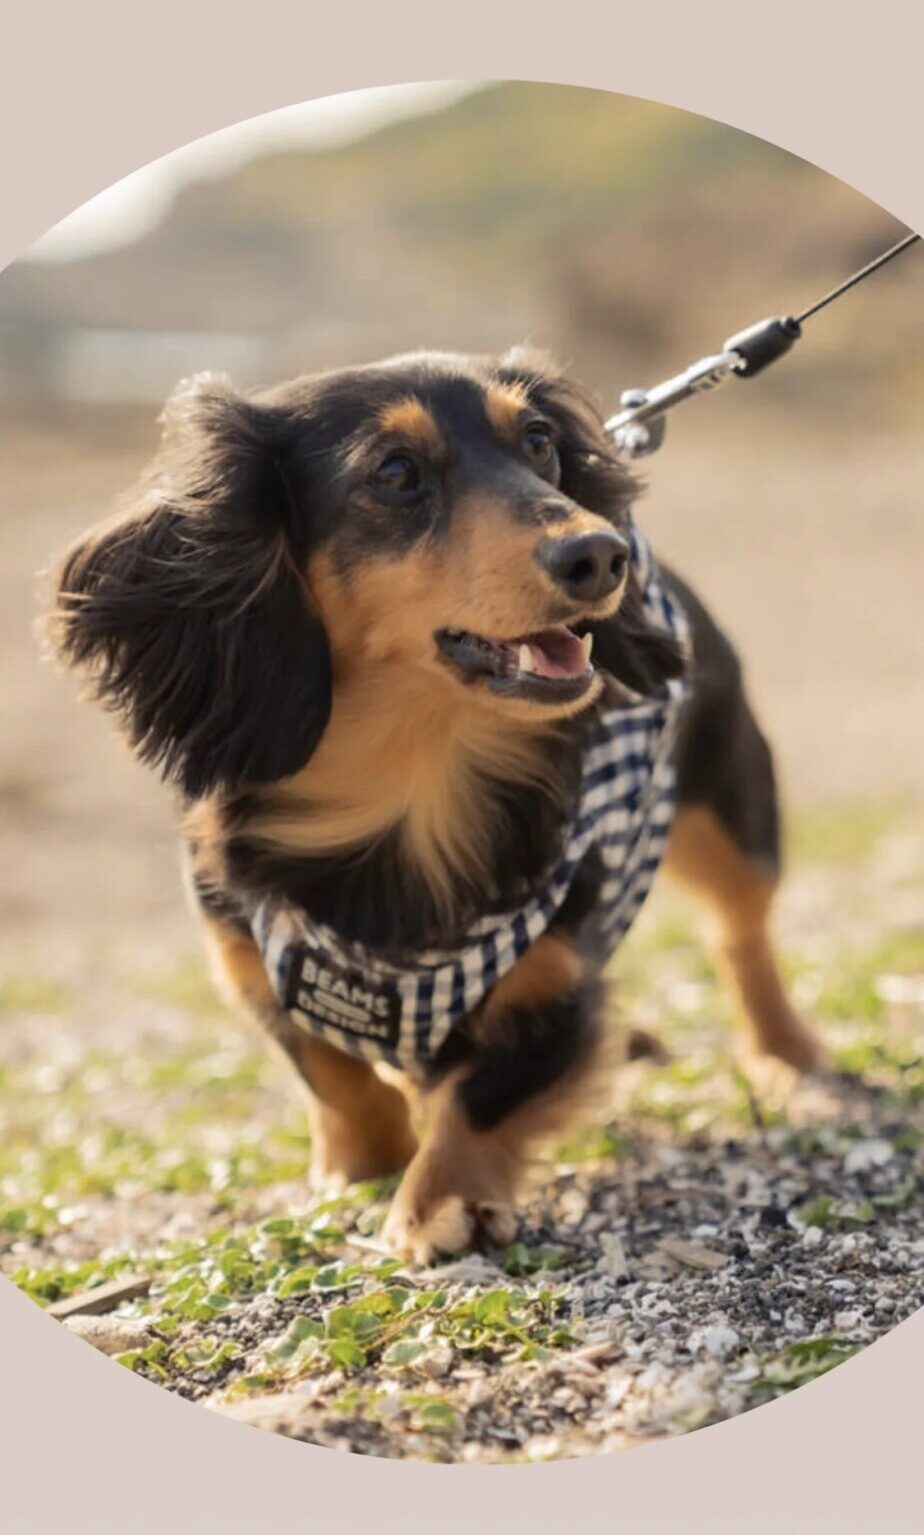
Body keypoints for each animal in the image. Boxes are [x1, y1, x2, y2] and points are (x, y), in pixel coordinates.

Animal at [48, 348, 822, 1264]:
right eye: (394, 471)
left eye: (539, 441)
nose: (601, 556)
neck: (407, 786)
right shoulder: (247, 953)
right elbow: (332, 1073)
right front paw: (361, 1161)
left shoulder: (555, 981)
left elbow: (481, 1094)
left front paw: (439, 1200)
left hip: (733, 813)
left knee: (741, 935)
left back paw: (787, 1055)